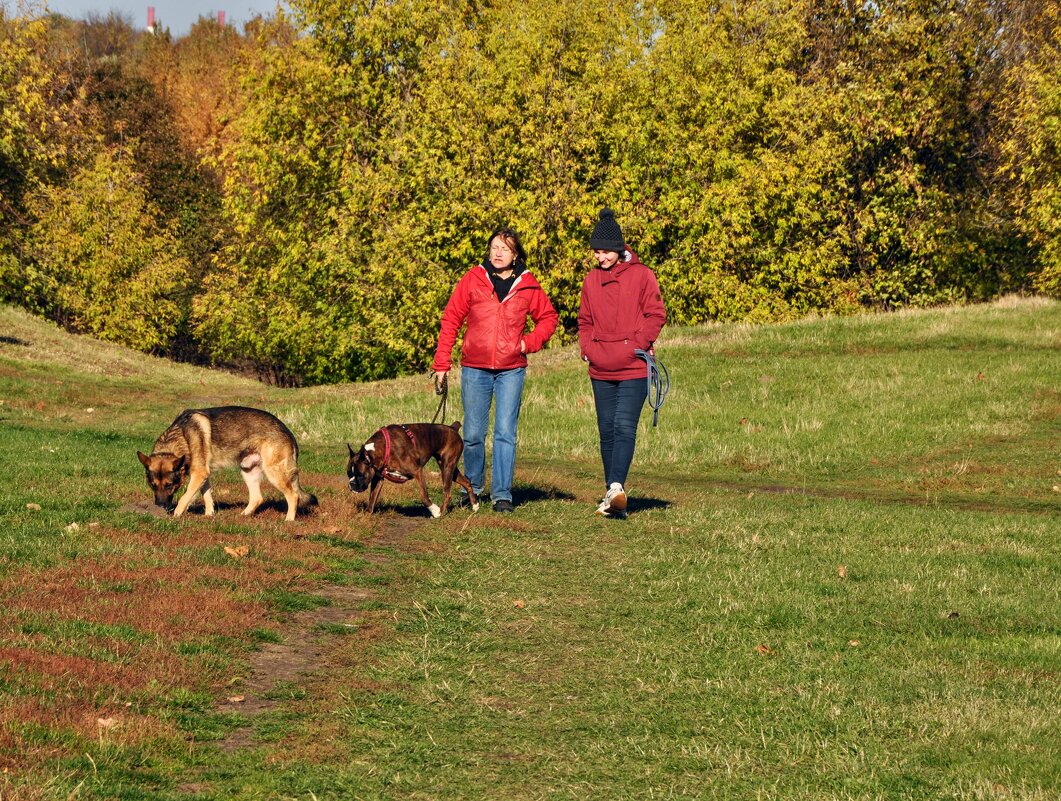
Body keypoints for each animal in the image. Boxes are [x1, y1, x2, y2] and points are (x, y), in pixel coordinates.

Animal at [138, 407, 316, 519]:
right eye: (153, 485)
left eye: (169, 485)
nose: (160, 506)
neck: (182, 436)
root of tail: (288, 432)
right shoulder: (203, 476)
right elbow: (206, 496)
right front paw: (209, 515)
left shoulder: (199, 474)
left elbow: (184, 497)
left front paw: (176, 515)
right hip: (248, 470)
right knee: (257, 498)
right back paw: (243, 515)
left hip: (273, 473)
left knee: (293, 496)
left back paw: (289, 520)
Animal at [345, 420, 479, 519]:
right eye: (349, 474)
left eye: (360, 475)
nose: (351, 484)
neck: (383, 448)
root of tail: (452, 428)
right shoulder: (378, 478)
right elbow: (372, 498)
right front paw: (366, 516)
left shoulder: (417, 471)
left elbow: (424, 497)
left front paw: (435, 511)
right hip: (451, 469)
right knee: (467, 481)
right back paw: (475, 505)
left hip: (446, 467)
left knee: (447, 494)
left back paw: (440, 513)